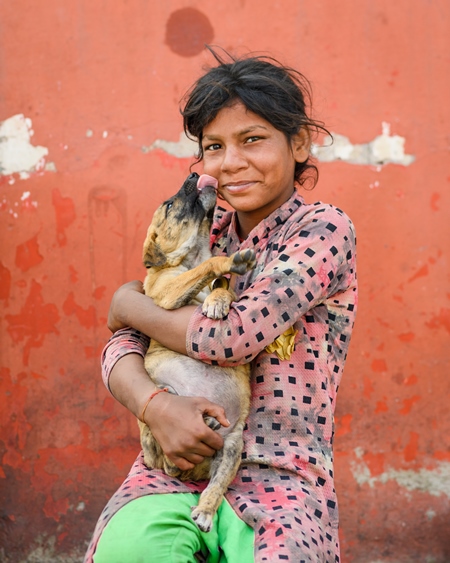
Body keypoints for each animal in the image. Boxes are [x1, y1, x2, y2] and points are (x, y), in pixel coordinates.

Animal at [139, 172, 255, 532]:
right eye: (168, 205)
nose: (193, 174)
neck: (193, 255)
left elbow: (224, 285)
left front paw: (217, 300)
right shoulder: (166, 292)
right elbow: (211, 270)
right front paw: (227, 264)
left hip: (233, 447)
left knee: (215, 485)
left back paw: (204, 509)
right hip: (152, 426)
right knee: (165, 461)